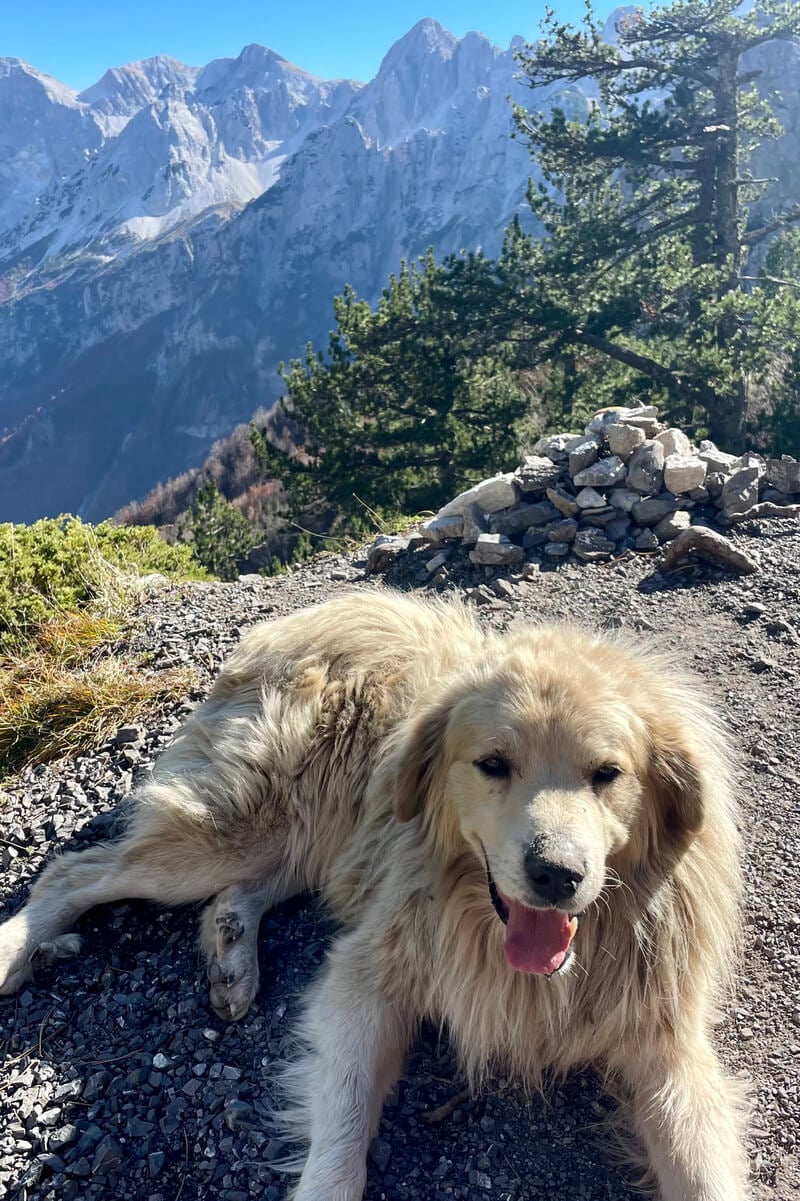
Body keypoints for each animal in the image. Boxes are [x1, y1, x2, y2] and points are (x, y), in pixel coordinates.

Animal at [0, 590, 749, 1201]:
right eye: (493, 764)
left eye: (607, 773)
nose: (556, 875)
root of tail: (326, 606)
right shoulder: (369, 974)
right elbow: (346, 1116)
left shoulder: (665, 1040)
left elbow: (702, 1168)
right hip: (242, 827)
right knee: (75, 871)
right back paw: (20, 948)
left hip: (307, 836)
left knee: (240, 889)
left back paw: (231, 953)